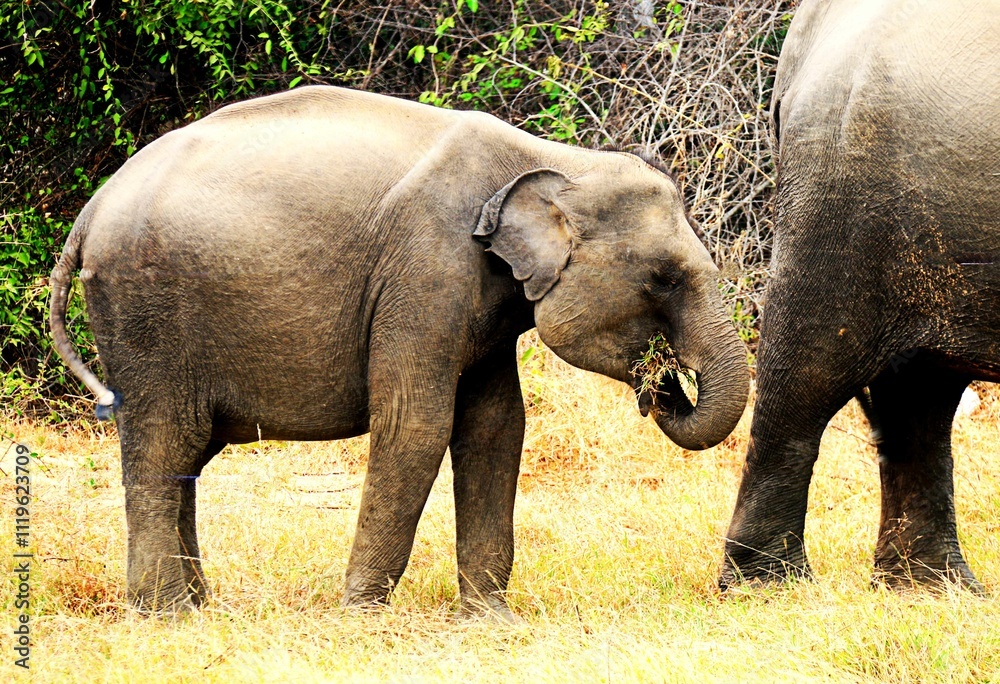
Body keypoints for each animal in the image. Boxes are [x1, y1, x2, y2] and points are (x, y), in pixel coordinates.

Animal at [49, 85, 749, 618]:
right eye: (663, 279)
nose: (663, 384)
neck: (553, 160)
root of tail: (89, 214)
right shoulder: (426, 271)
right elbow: (416, 424)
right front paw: (359, 617)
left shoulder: (480, 298)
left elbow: (496, 427)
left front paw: (488, 621)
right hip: (146, 315)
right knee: (164, 443)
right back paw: (166, 614)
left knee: (185, 455)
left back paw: (197, 606)